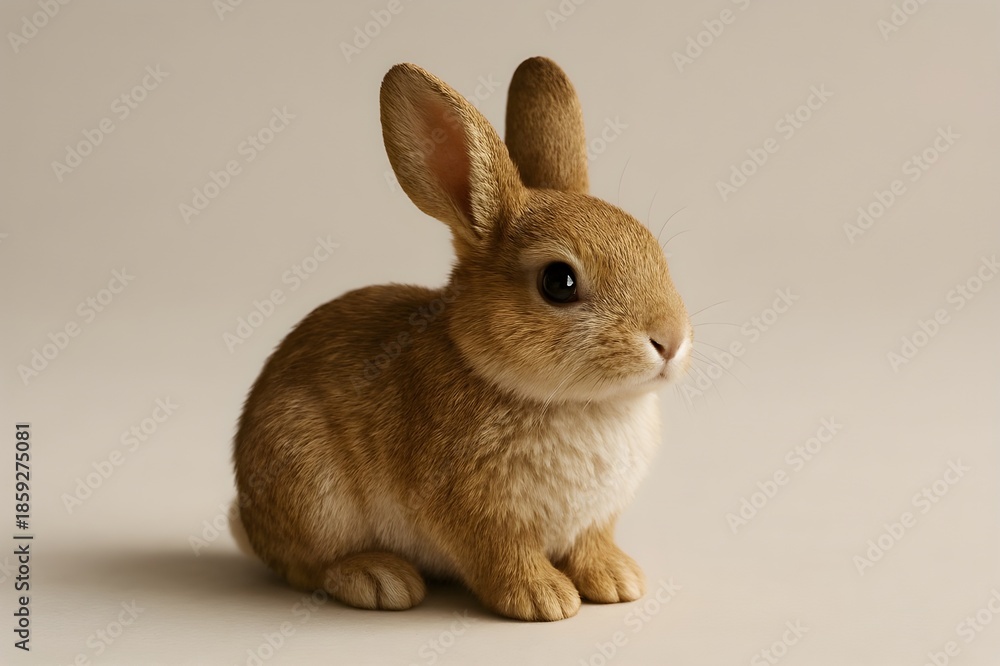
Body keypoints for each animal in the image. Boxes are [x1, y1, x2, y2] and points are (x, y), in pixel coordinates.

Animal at [231, 56, 692, 622]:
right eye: (558, 282)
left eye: (655, 250)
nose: (671, 339)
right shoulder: (474, 512)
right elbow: (501, 554)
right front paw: (543, 598)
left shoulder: (595, 519)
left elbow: (591, 543)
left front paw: (617, 580)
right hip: (310, 486)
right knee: (307, 566)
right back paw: (379, 578)